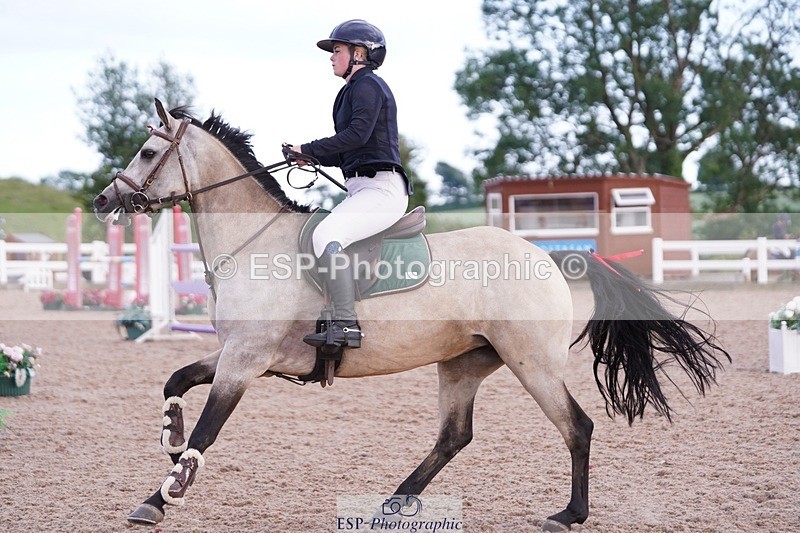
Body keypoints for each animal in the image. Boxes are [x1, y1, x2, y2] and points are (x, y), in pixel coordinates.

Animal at [93, 100, 730, 531]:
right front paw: (170, 438)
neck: (253, 243)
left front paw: (161, 496)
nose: (103, 200)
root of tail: (553, 258)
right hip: (466, 363)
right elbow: (176, 380)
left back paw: (568, 514)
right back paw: (394, 501)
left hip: (533, 364)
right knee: (454, 436)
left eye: (148, 152)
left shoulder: (245, 362)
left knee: (576, 427)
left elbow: (209, 429)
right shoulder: (236, 354)